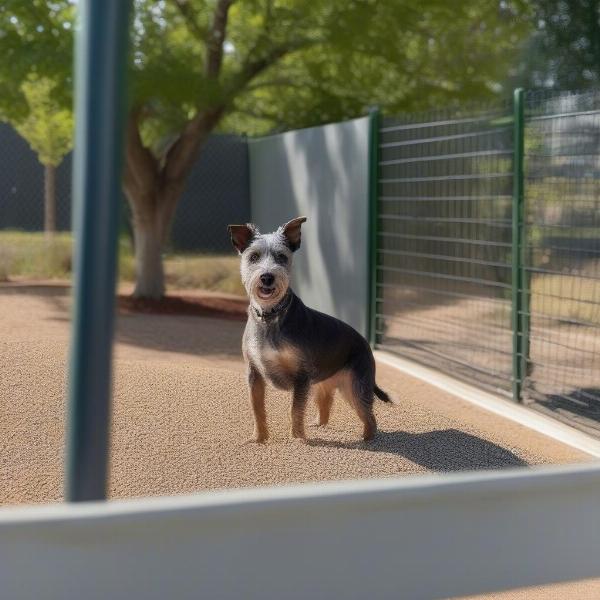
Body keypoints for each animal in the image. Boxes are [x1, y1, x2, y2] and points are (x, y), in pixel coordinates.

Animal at [227, 216, 392, 440]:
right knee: (326, 403)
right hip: (322, 383)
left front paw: (297, 438)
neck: (271, 316)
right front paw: (259, 438)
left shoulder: (301, 377)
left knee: (369, 415)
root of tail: (365, 344)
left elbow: (295, 410)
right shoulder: (254, 374)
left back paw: (366, 438)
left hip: (356, 387)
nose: (267, 277)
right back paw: (319, 425)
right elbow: (257, 408)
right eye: (253, 257)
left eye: (282, 257)